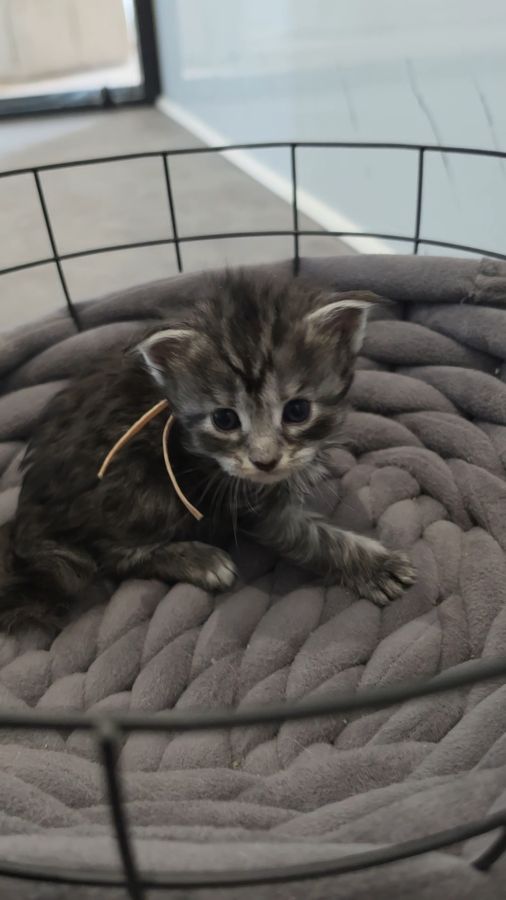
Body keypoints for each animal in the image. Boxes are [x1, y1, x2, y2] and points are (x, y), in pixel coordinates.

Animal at [0, 270, 415, 631]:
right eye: (225, 419)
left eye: (297, 411)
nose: (265, 461)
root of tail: (28, 516)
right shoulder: (247, 502)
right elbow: (309, 535)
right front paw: (374, 566)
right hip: (139, 486)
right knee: (109, 554)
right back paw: (198, 560)